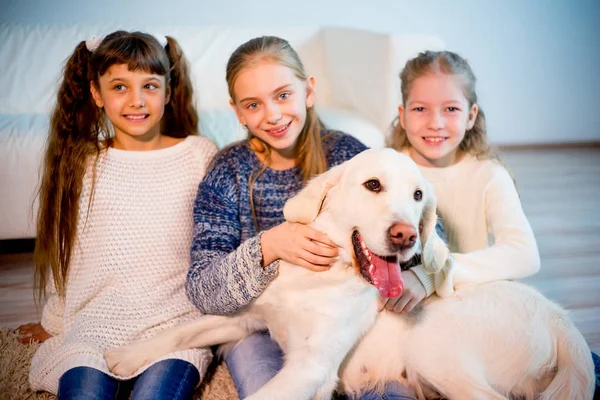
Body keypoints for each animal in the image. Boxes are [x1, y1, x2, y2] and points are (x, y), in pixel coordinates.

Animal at [104, 148, 596, 398]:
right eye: (372, 185)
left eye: (418, 195)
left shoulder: (311, 369)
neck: (326, 277)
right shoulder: (249, 318)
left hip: (434, 353)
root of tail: (562, 322)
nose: (405, 236)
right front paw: (125, 356)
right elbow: (186, 330)